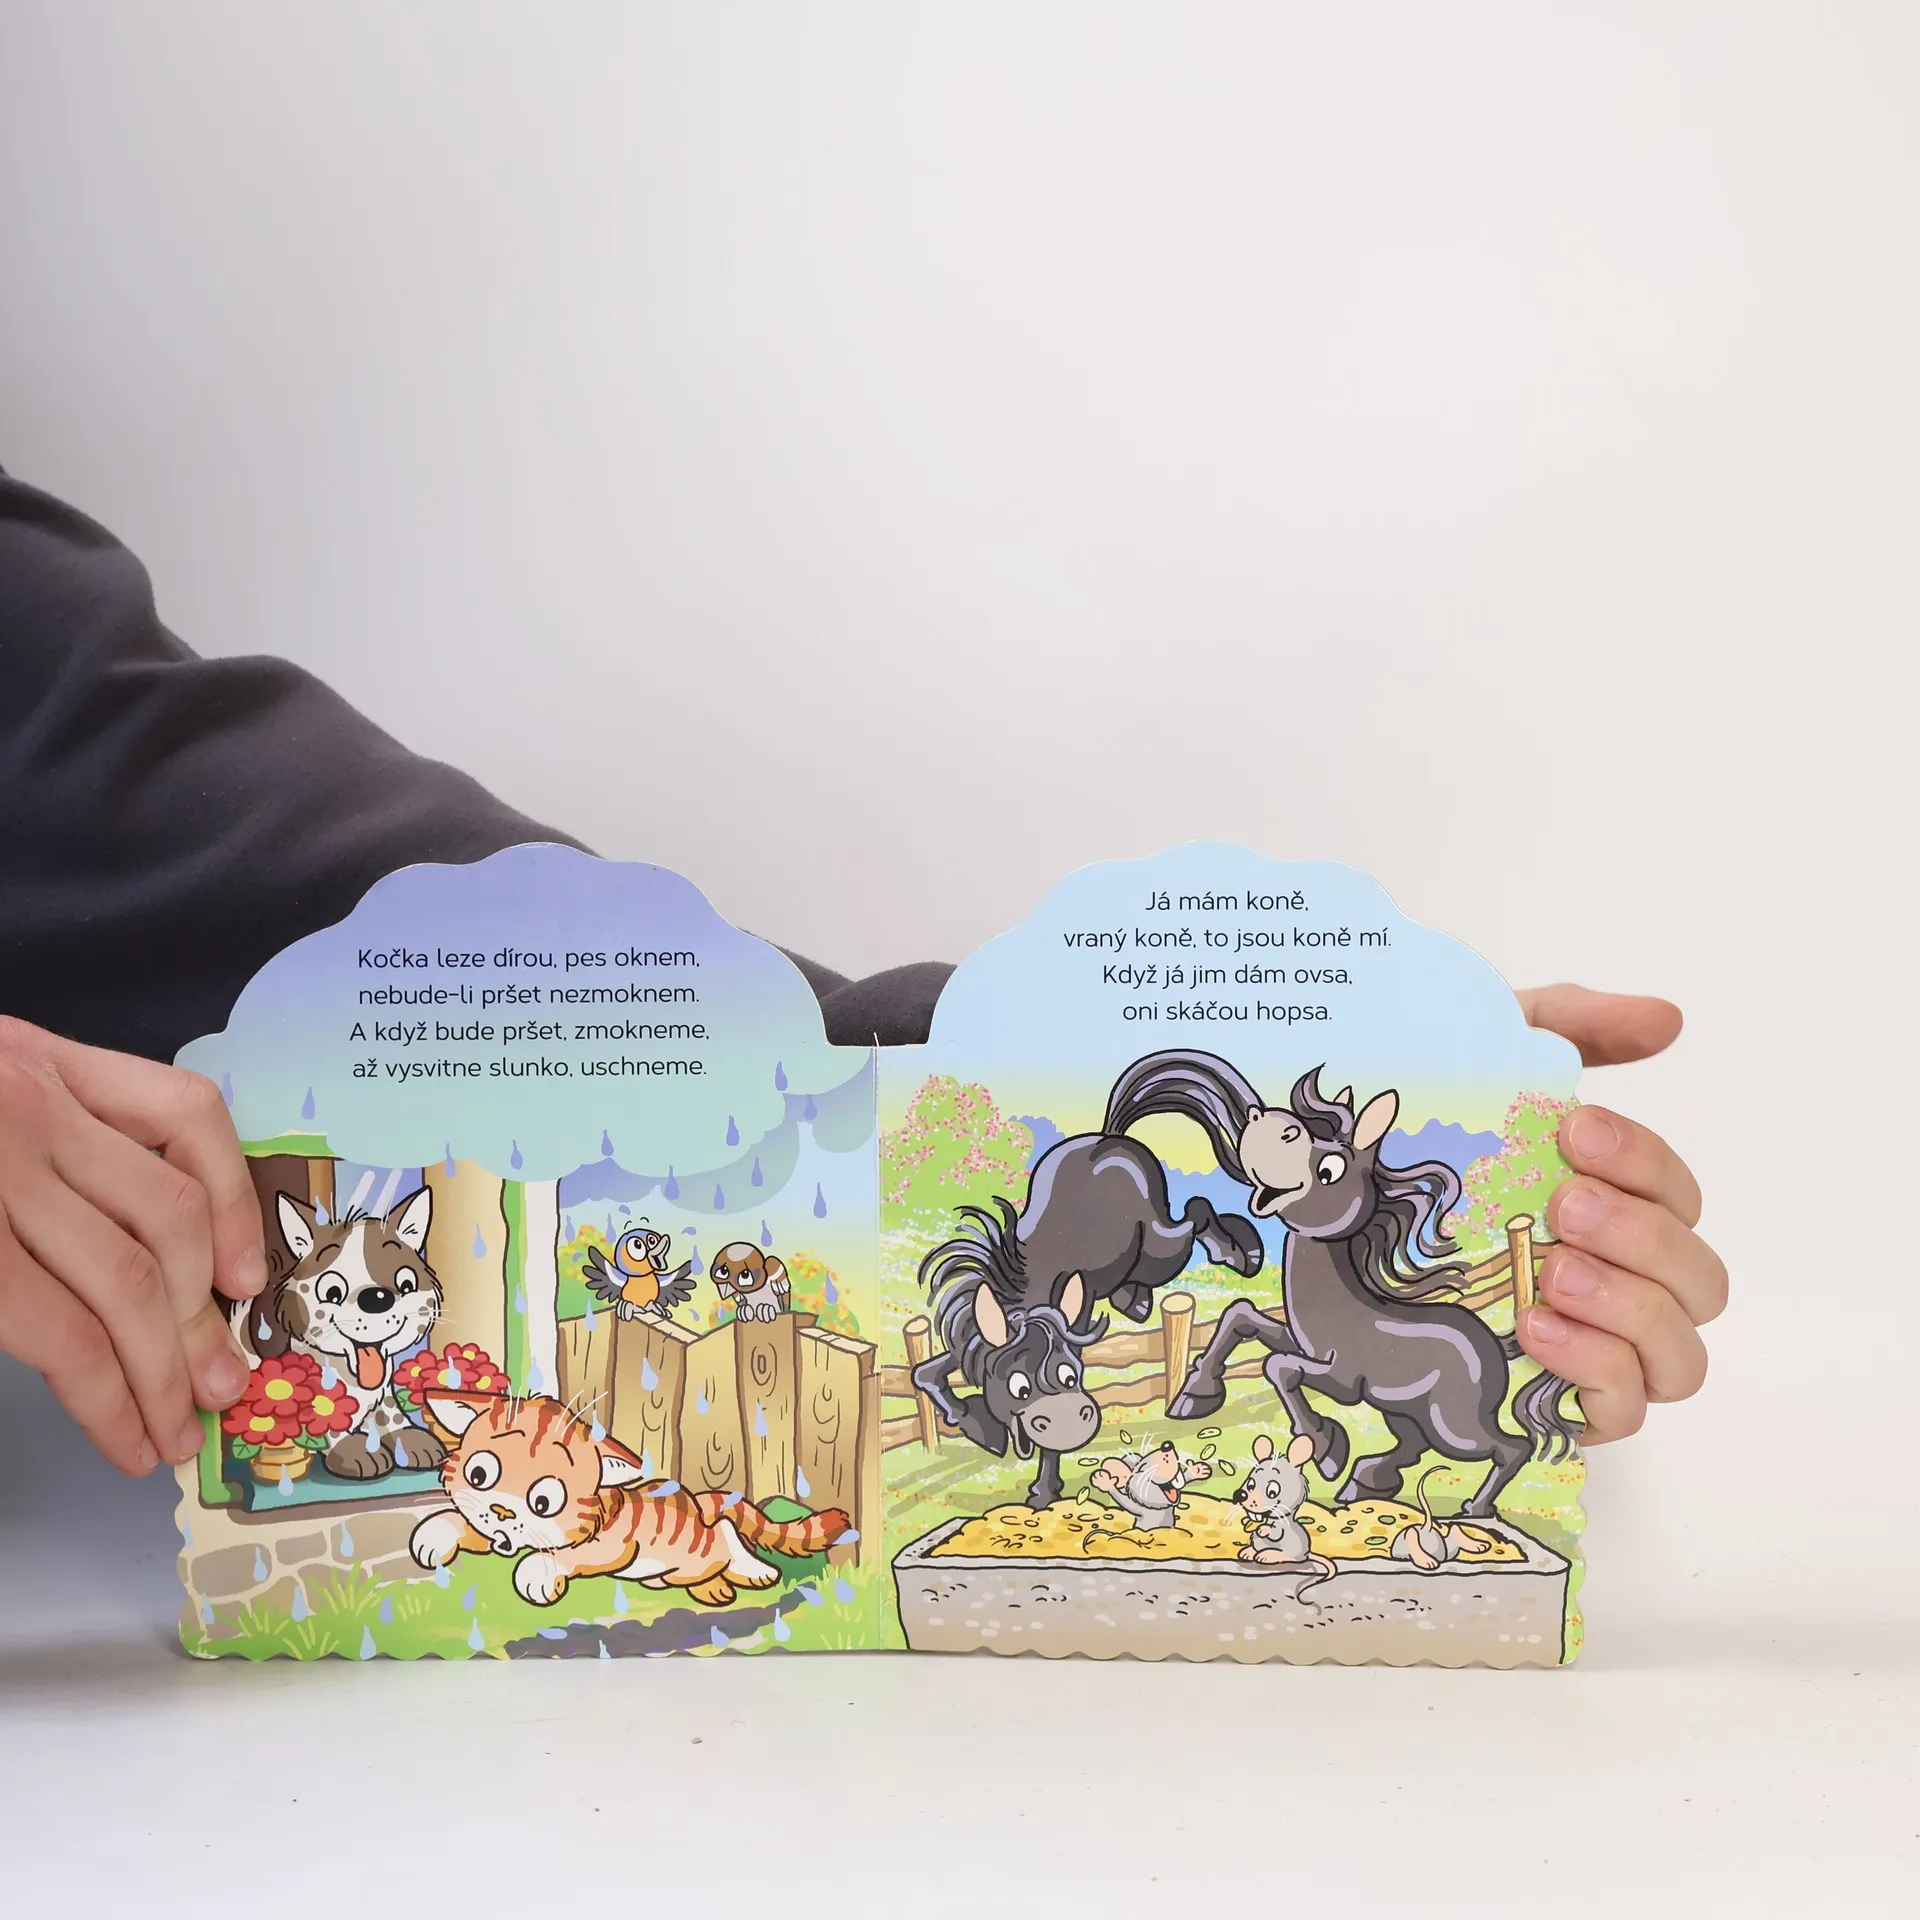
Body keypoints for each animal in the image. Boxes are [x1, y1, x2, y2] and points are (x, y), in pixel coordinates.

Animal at [234, 1188, 447, 1479]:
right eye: (332, 1291)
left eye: (406, 1283)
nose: (377, 1298)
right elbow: (328, 1419)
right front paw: (356, 1450)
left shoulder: (384, 1395)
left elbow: (391, 1415)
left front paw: (410, 1438)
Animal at [1156, 1055, 1581, 1517]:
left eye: (1330, 1169)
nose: (1266, 1122)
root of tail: (1497, 1345)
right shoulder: (1298, 1341)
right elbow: (1242, 1316)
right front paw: (1195, 1395)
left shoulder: (1341, 1379)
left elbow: (1279, 1367)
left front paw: (1325, 1448)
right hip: (1404, 1411)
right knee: (1415, 1446)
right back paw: (1367, 1480)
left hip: (1453, 1422)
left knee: (1511, 1447)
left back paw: (1474, 1509)